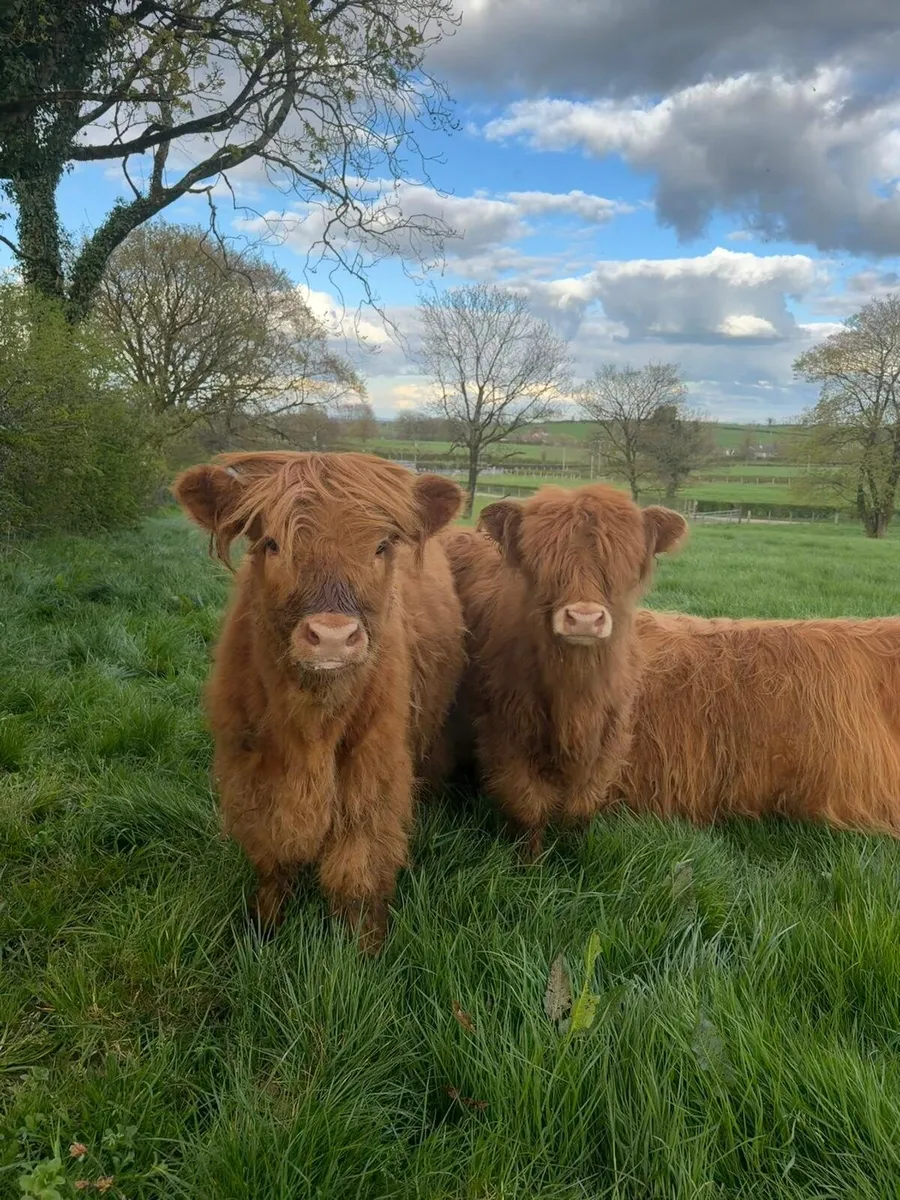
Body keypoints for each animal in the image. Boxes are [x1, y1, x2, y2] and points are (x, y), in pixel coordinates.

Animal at [173, 451, 465, 952]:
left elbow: (359, 867)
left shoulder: (373, 770)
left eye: (381, 546)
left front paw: (365, 948)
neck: (312, 725)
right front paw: (264, 926)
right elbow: (272, 857)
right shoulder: (252, 769)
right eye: (272, 543)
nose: (331, 636)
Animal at [441, 482, 900, 855]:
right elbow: (529, 814)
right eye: (541, 564)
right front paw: (533, 866)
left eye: (624, 568)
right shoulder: (507, 744)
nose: (585, 619)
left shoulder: (604, 753)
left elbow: (577, 816)